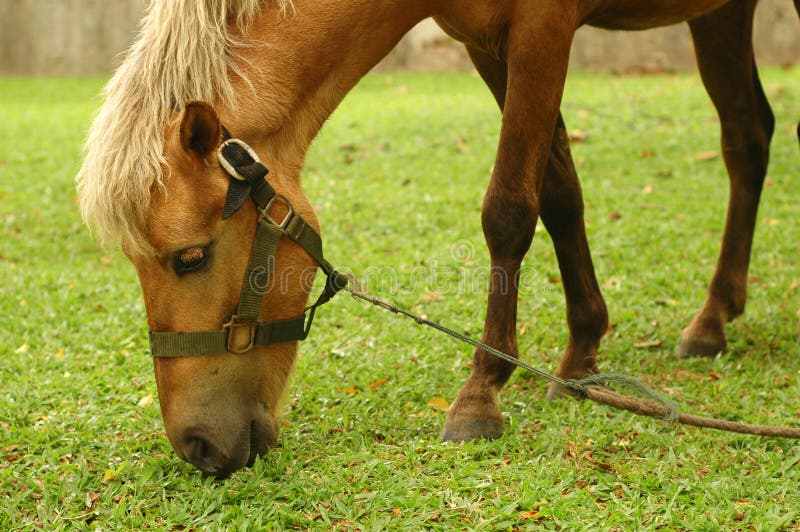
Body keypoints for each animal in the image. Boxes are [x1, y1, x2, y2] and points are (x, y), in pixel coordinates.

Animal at [73, 0, 792, 476]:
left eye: (190, 257)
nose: (195, 445)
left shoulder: (542, 31)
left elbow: (509, 208)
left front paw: (481, 394)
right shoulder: (487, 43)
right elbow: (558, 192)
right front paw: (581, 355)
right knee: (747, 136)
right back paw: (713, 317)